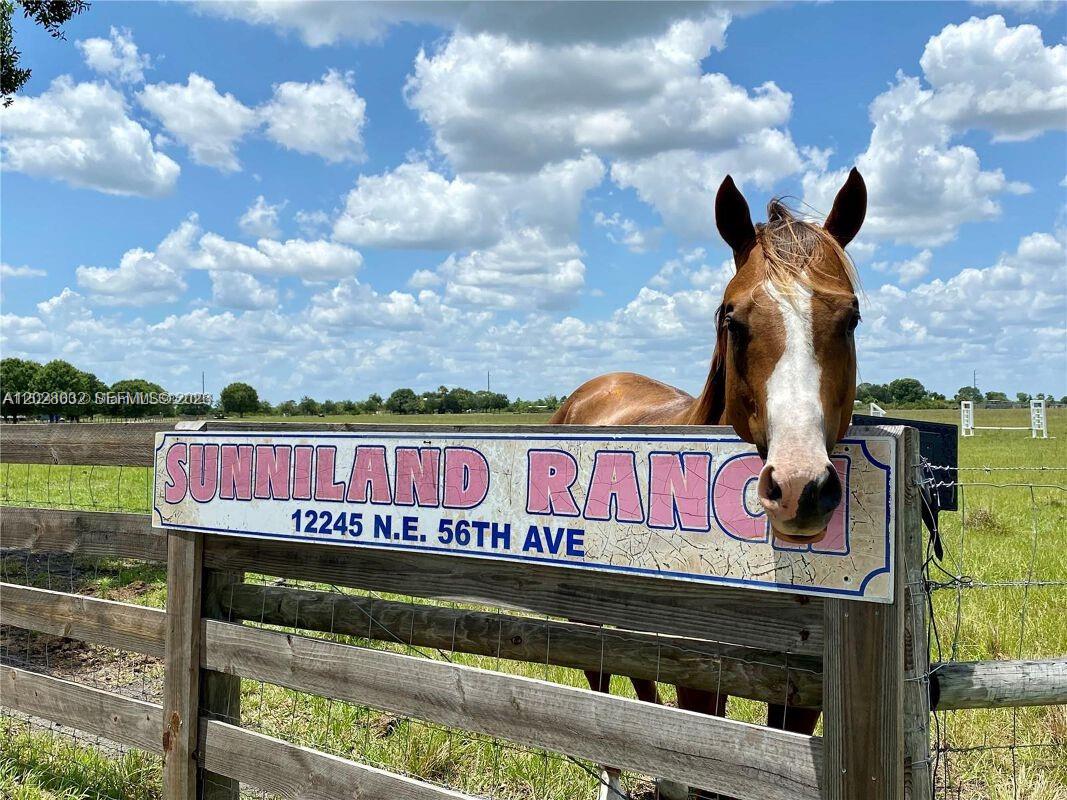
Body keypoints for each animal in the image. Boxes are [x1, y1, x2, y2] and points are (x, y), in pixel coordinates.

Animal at [551, 169, 867, 800]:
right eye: (732, 319)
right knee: (603, 688)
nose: (799, 486)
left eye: (850, 317)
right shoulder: (700, 675)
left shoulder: (803, 691)